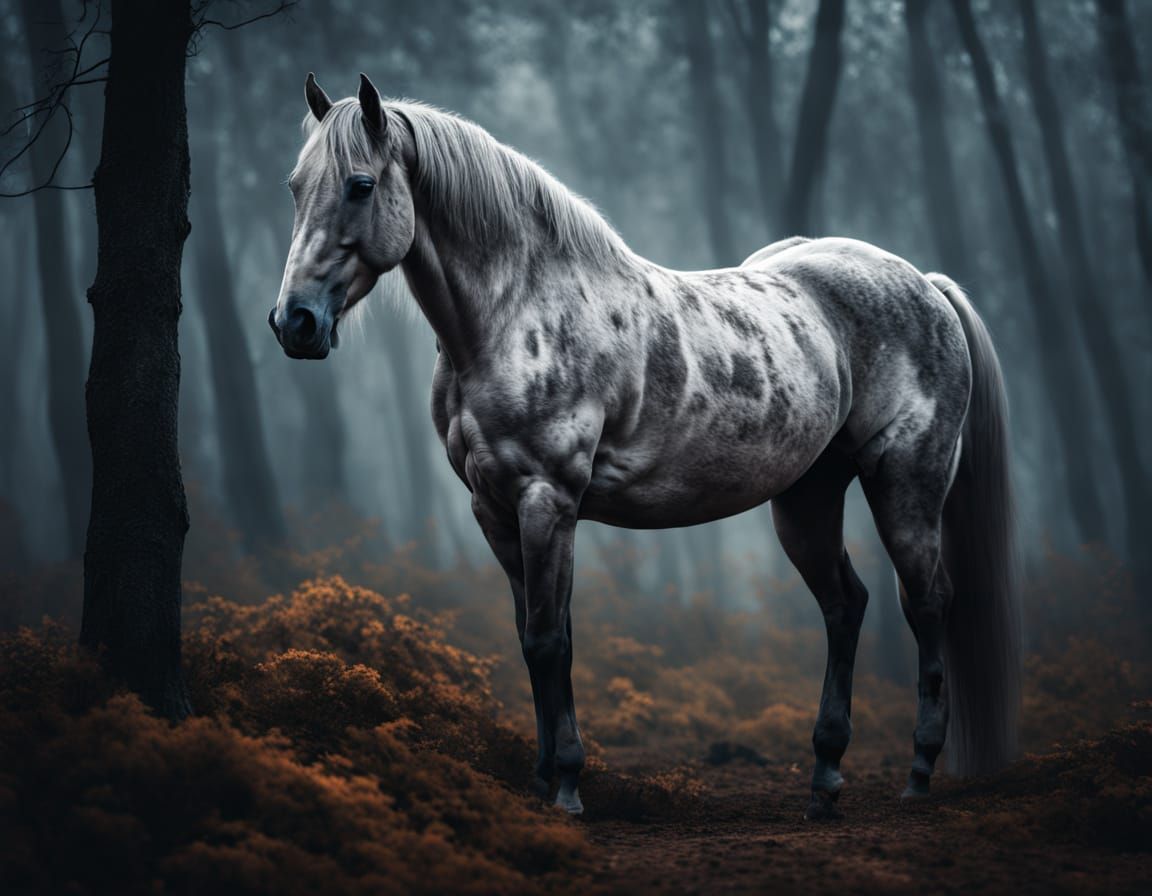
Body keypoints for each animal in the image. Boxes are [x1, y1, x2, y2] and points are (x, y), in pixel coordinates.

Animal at [270, 73, 1021, 820]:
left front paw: (567, 787)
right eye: (296, 186)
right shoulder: (494, 509)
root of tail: (926, 285)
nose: (294, 322)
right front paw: (544, 776)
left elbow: (549, 640)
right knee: (846, 605)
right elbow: (534, 638)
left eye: (360, 185)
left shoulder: (547, 500)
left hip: (905, 483)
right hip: (807, 497)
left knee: (926, 602)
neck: (515, 315)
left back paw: (918, 768)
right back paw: (825, 774)